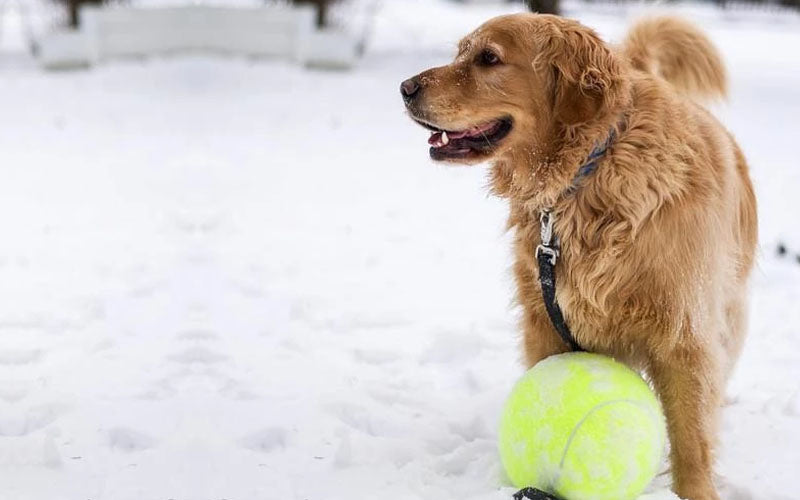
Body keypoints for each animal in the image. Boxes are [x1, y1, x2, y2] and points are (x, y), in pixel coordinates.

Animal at [400, 12, 756, 500]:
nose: (404, 87)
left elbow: (691, 437)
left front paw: (696, 492)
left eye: (489, 58)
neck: (591, 172)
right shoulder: (546, 320)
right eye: (460, 53)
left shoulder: (683, 332)